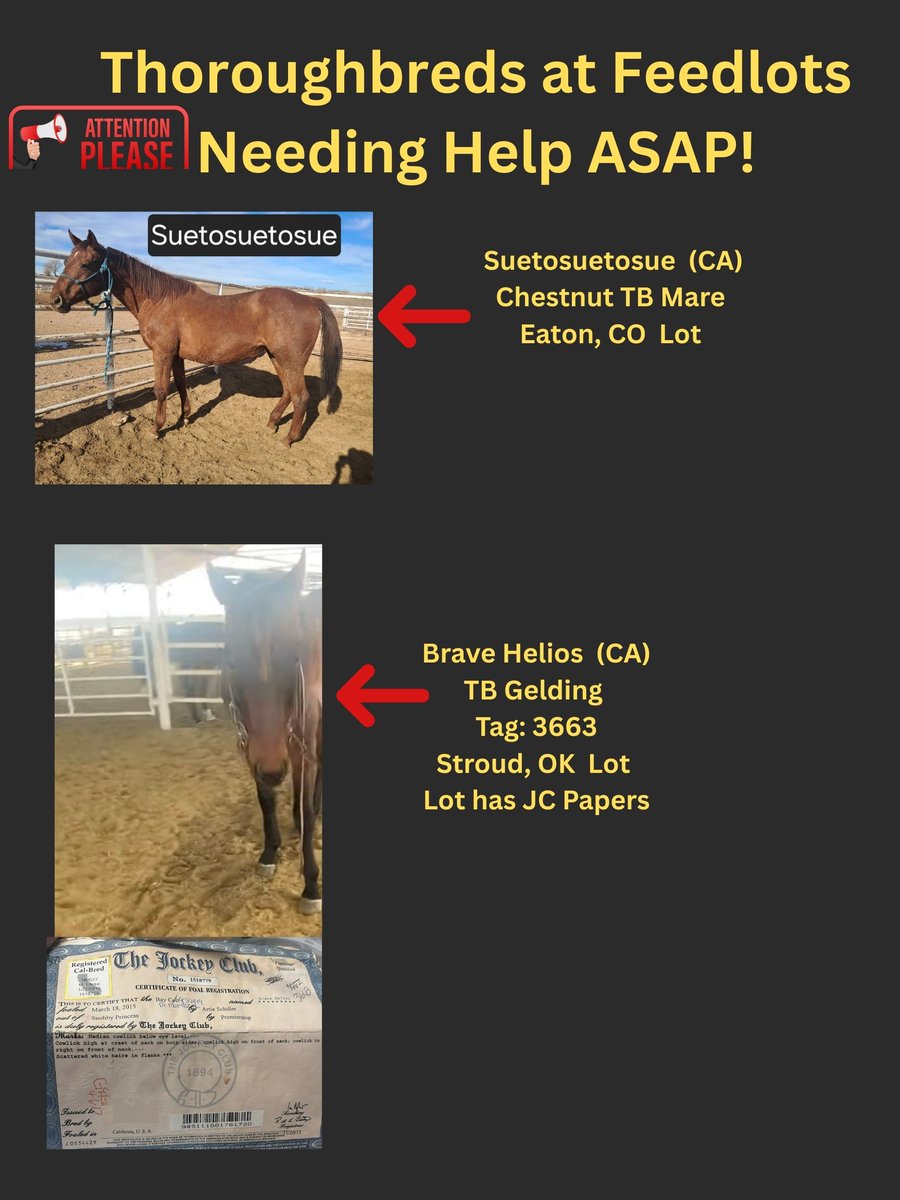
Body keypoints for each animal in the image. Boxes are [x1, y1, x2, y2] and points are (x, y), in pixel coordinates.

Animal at [49, 230, 342, 447]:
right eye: (65, 262)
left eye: (86, 263)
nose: (56, 300)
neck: (160, 301)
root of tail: (311, 301)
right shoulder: (176, 356)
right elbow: (180, 385)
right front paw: (185, 418)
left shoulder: (162, 353)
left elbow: (161, 389)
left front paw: (156, 428)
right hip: (278, 357)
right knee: (288, 391)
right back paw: (271, 423)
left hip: (290, 360)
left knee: (301, 396)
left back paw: (288, 439)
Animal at [207, 553, 323, 914]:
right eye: (231, 662)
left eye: (293, 659)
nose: (273, 769)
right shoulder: (251, 750)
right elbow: (266, 800)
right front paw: (270, 852)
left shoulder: (301, 747)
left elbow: (307, 811)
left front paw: (311, 885)